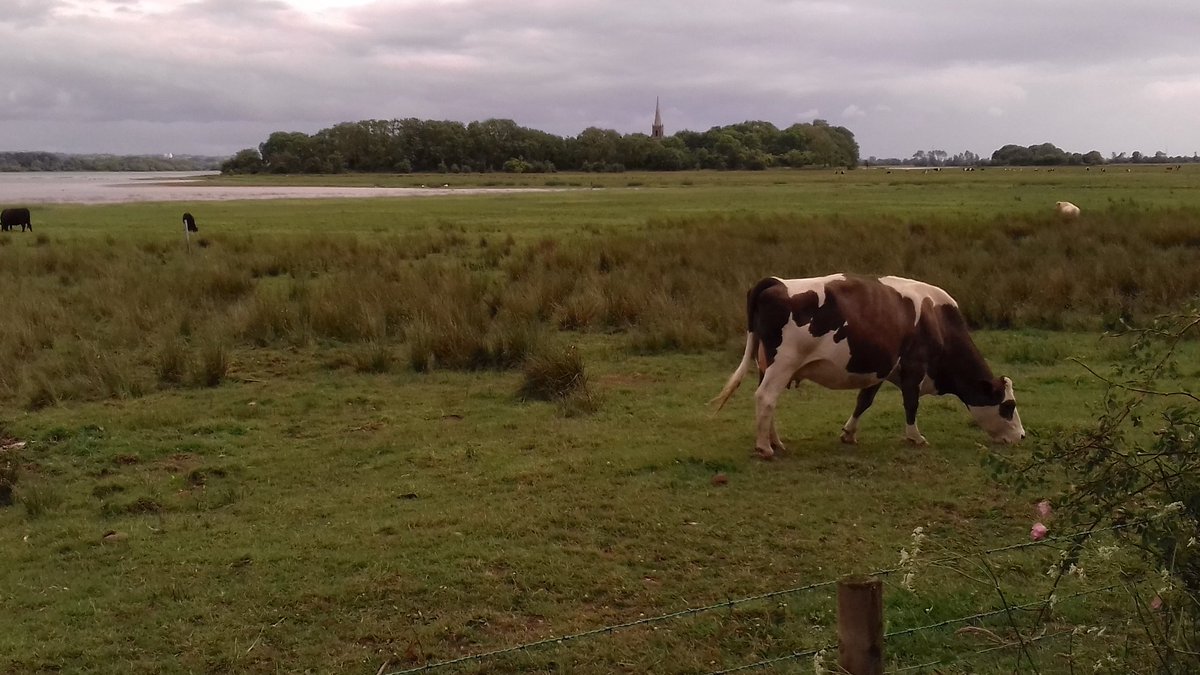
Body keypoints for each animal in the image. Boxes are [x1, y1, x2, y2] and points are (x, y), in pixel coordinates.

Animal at [711, 274, 1025, 458]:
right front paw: (915, 437)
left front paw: (849, 433)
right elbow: (911, 403)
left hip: (768, 365)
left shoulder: (882, 370)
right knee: (765, 397)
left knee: (769, 401)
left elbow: (864, 400)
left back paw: (775, 442)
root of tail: (776, 282)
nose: (1022, 436)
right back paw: (764, 447)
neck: (937, 320)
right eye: (1008, 406)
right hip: (782, 364)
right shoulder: (914, 367)